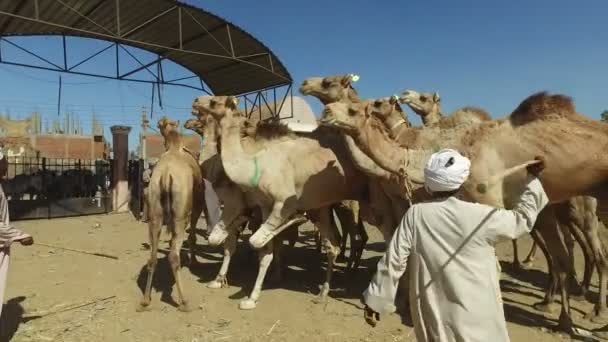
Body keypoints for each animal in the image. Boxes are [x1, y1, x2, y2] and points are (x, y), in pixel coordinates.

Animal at [137, 116, 204, 312]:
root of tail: (166, 175)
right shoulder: (197, 205)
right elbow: (193, 236)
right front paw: (194, 262)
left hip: (155, 214)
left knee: (152, 257)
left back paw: (145, 300)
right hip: (180, 216)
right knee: (174, 255)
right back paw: (184, 301)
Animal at [324, 94, 608, 332]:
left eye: (352, 109)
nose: (326, 112)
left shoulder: (490, 204)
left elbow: (491, 267)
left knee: (590, 254)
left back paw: (593, 313)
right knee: (563, 259)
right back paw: (563, 319)